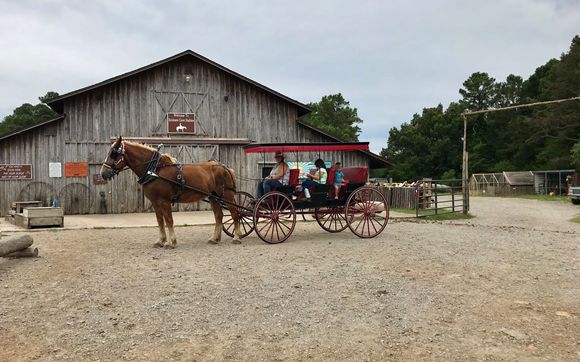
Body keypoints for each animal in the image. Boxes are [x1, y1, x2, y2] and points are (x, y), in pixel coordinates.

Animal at [101, 137, 241, 247]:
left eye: (114, 154)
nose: (103, 173)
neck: (155, 170)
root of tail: (224, 167)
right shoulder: (155, 202)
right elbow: (160, 221)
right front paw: (161, 241)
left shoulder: (165, 201)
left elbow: (169, 220)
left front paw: (171, 242)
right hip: (214, 197)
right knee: (219, 216)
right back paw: (214, 239)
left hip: (227, 195)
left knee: (235, 213)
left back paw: (237, 237)